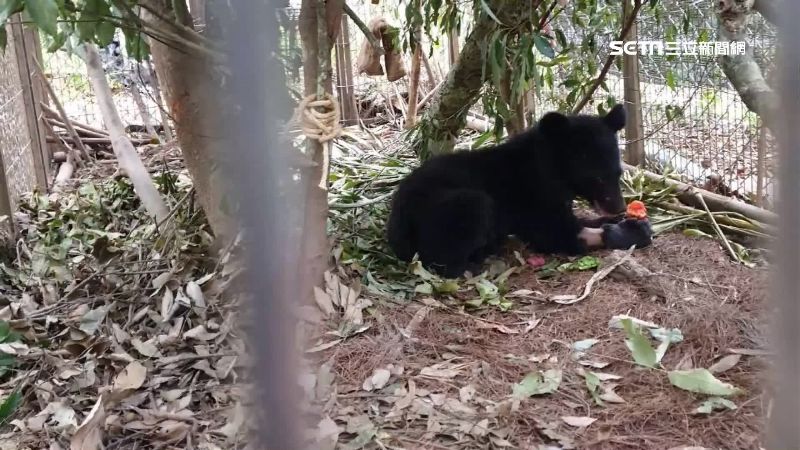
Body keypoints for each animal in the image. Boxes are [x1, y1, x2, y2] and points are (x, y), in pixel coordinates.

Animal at [385, 104, 652, 278]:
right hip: (447, 208)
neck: (549, 169)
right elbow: (553, 232)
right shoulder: (530, 195)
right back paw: (474, 264)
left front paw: (629, 221)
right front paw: (632, 232)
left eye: (618, 173)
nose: (617, 205)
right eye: (595, 178)